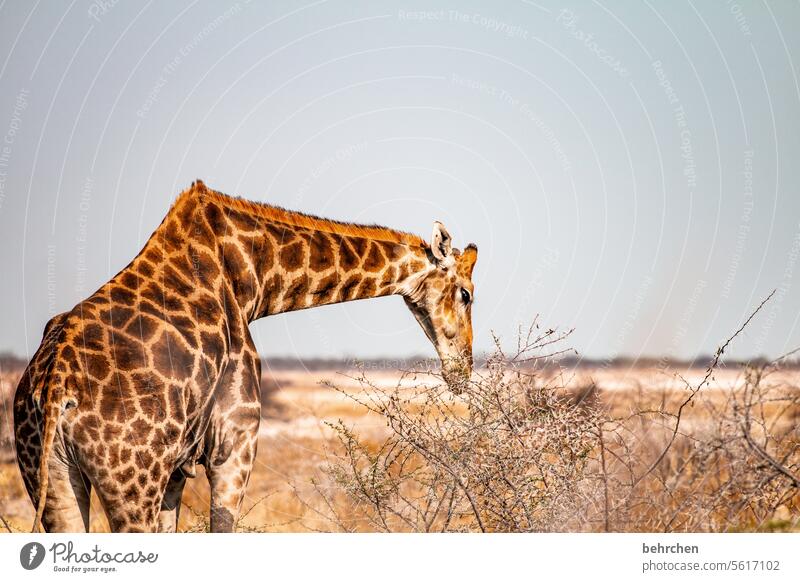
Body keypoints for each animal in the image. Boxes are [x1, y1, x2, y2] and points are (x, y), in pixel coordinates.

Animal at [14, 181, 476, 532]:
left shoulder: (176, 471)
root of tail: (54, 385)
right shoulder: (234, 444)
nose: (464, 369)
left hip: (49, 473)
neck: (252, 277)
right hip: (131, 481)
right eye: (467, 294)